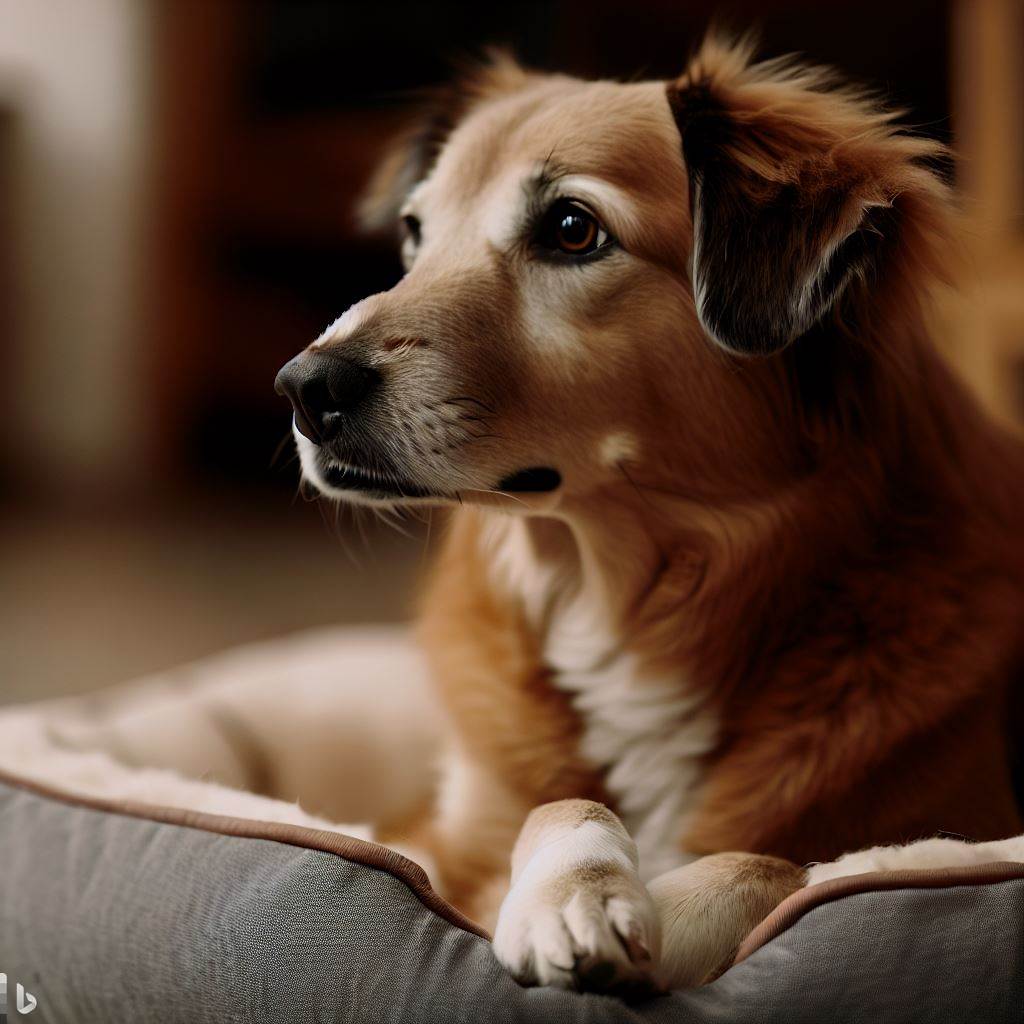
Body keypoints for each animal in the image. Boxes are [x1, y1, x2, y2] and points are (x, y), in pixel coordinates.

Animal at [272, 37, 1024, 991]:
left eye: (572, 229)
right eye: (415, 232)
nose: (305, 389)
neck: (621, 601)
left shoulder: (959, 827)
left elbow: (788, 864)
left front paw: (666, 914)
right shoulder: (432, 836)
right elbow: (565, 800)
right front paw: (579, 892)